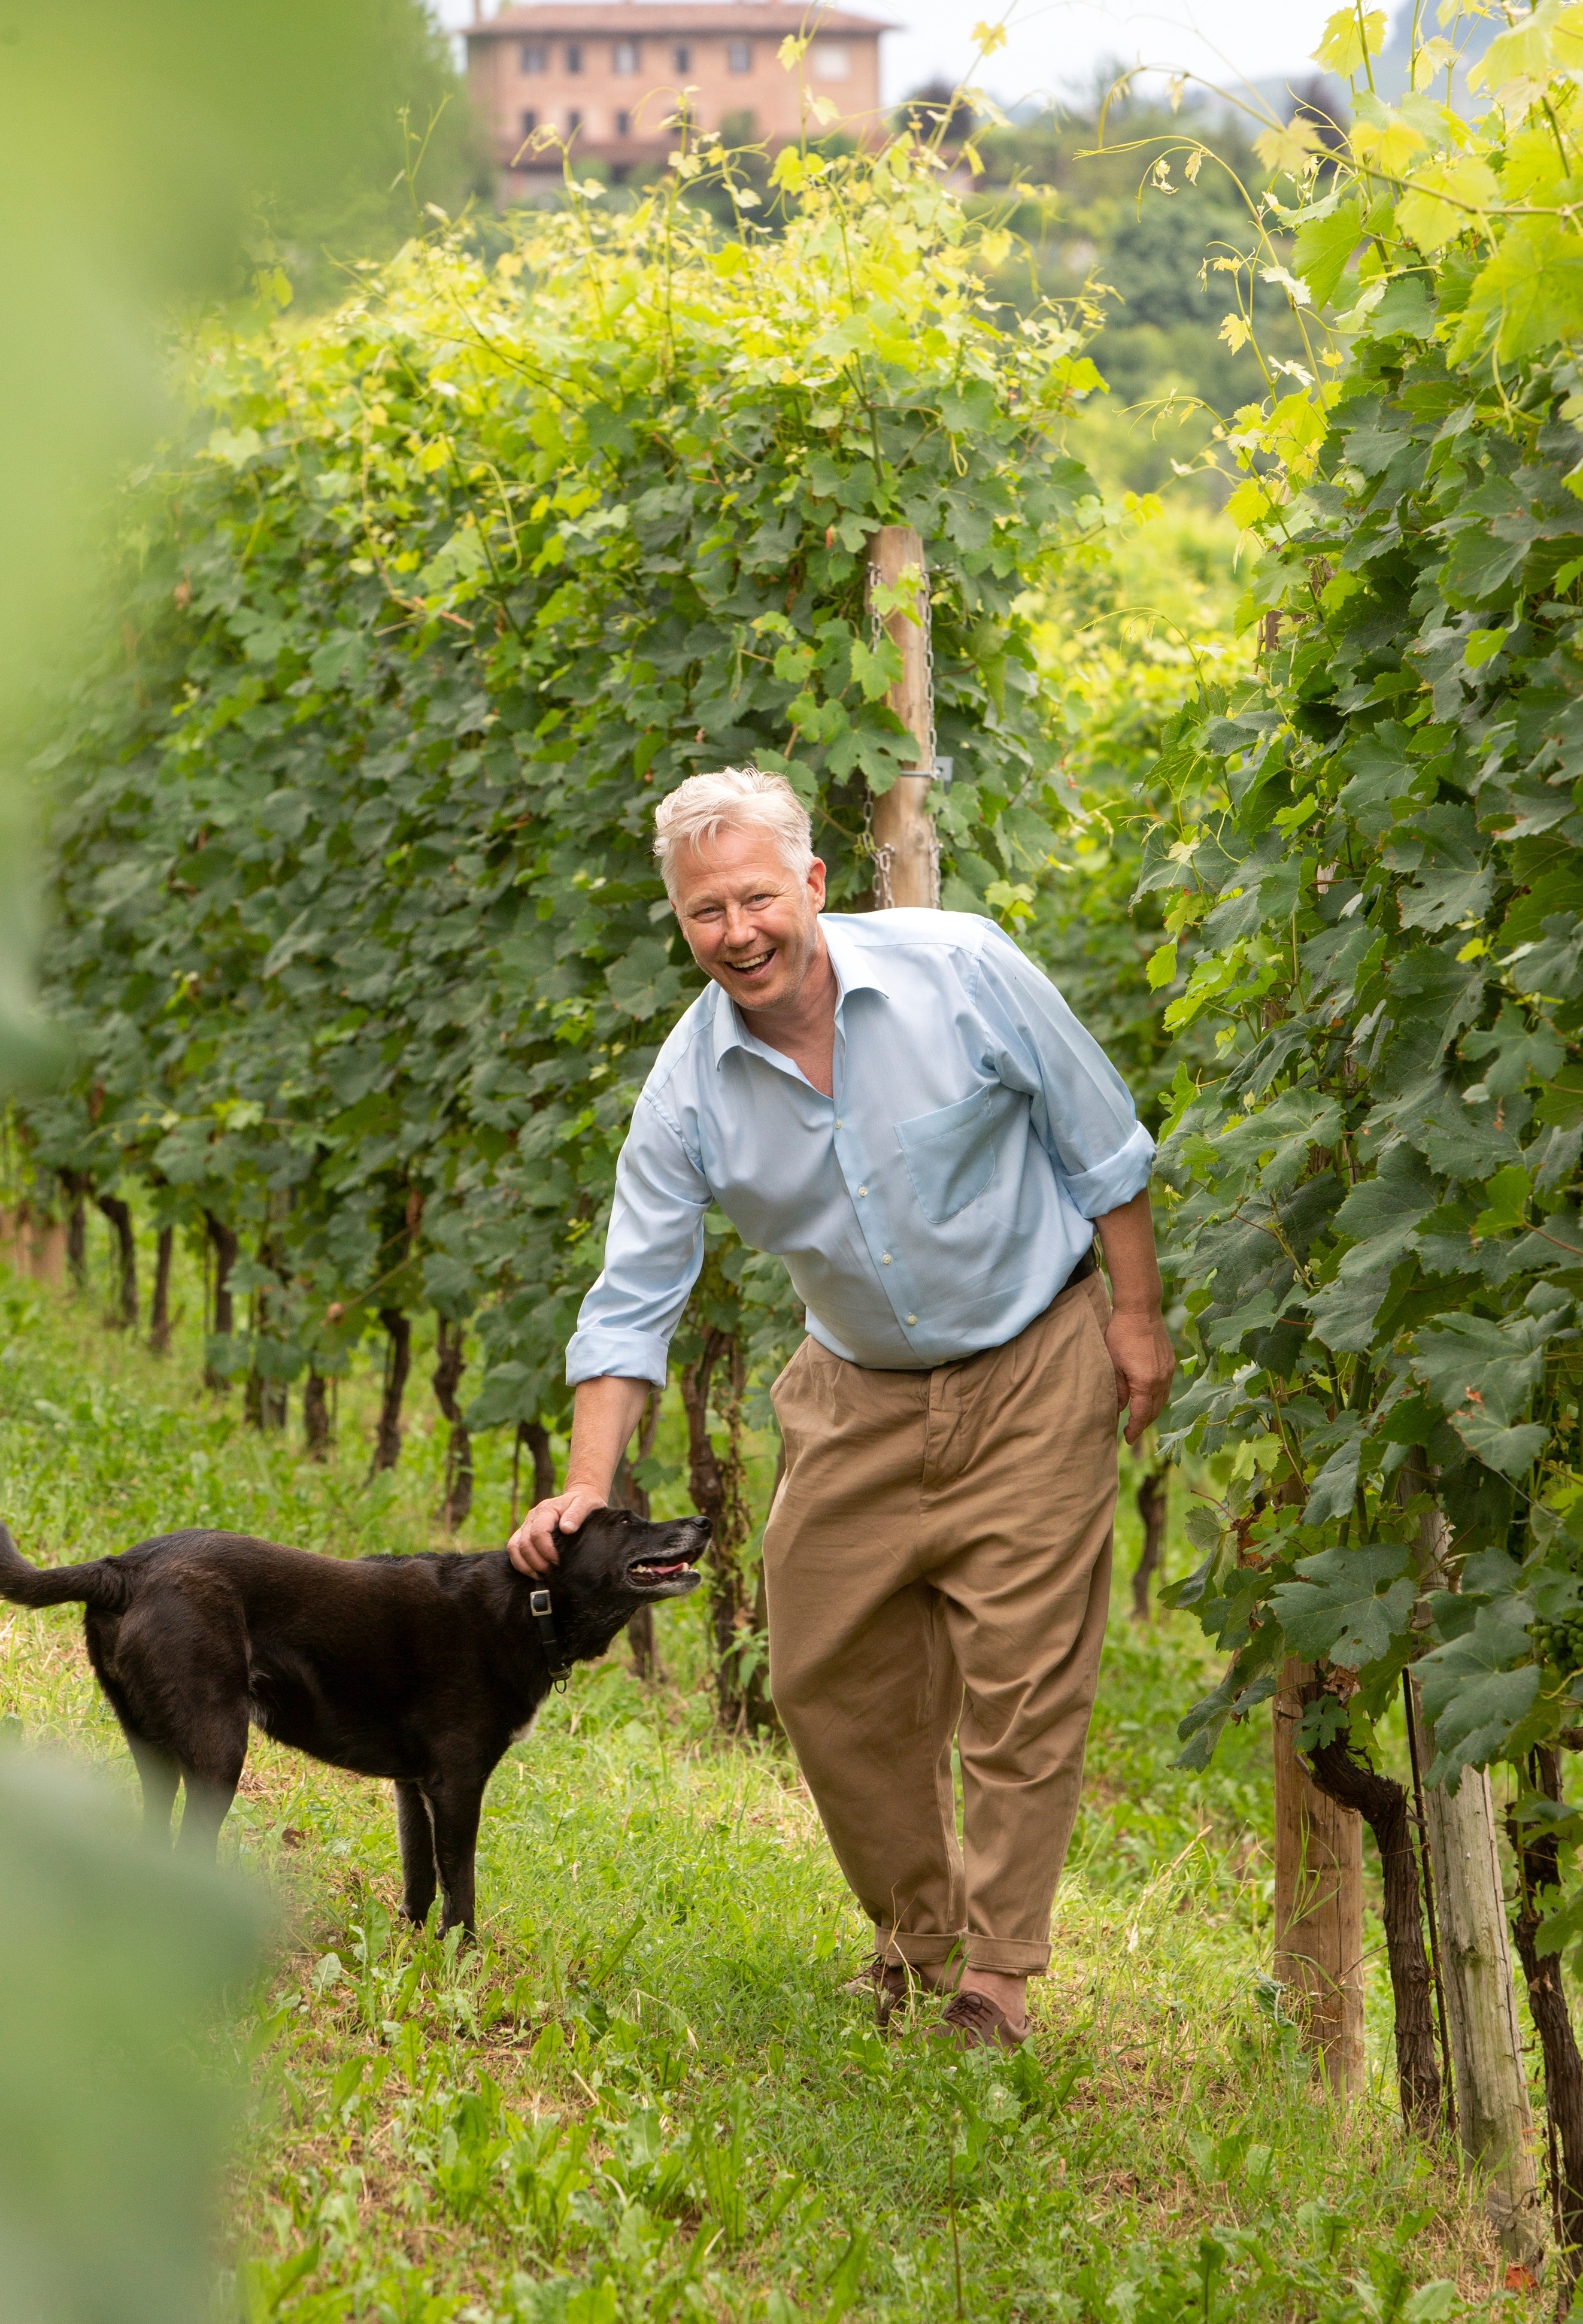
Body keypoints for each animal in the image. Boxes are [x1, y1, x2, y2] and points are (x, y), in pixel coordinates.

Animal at [0, 1515, 702, 1933]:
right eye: (627, 1522)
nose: (703, 1520)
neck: (531, 1606)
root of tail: (122, 1567)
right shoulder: (458, 1783)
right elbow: (463, 1885)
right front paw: (465, 1963)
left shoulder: (414, 1786)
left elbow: (421, 1876)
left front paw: (411, 1949)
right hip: (218, 1751)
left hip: (154, 1751)